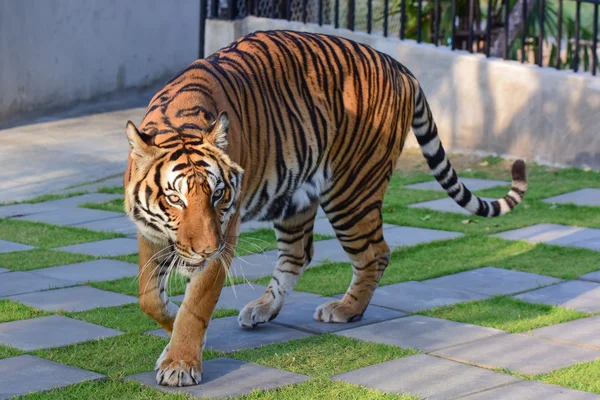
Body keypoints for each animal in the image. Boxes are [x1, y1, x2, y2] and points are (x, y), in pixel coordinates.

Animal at [124, 29, 528, 386]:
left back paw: (346, 309)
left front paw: (179, 363)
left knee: (375, 253)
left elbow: (197, 304)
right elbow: (148, 296)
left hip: (351, 190)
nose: (207, 250)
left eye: (218, 195)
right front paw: (171, 325)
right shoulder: (150, 230)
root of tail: (400, 67)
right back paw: (263, 309)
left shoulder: (226, 233)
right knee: (298, 253)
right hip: (293, 197)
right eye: (175, 198)